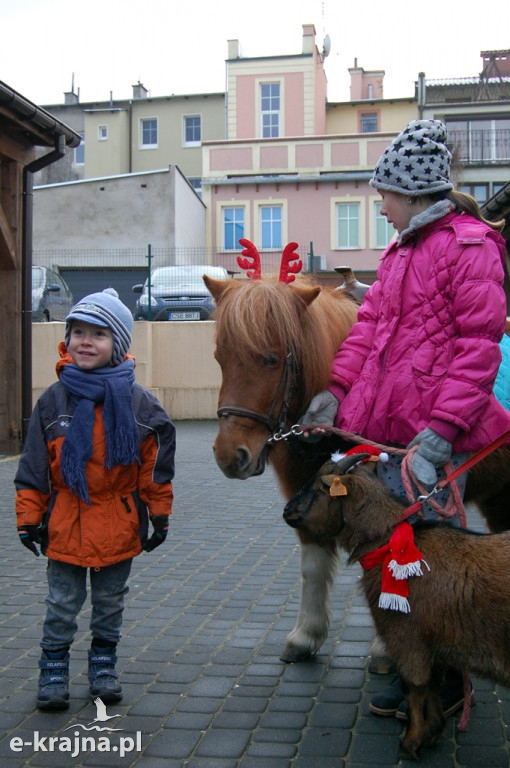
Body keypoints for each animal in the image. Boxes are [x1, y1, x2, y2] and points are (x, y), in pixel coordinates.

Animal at [203, 243, 510, 664]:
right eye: (219, 357)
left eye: (272, 358)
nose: (229, 455)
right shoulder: (304, 495)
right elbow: (313, 565)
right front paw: (307, 634)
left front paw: (386, 648)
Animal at [284, 452, 510, 760]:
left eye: (321, 487)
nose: (287, 511)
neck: (387, 539)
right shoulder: (434, 646)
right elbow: (432, 686)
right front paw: (433, 730)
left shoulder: (406, 636)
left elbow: (414, 686)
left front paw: (411, 743)